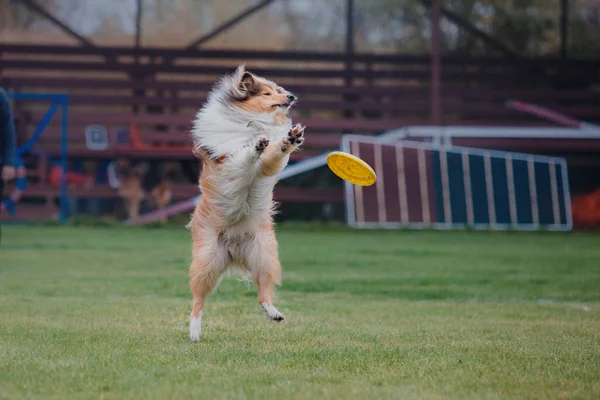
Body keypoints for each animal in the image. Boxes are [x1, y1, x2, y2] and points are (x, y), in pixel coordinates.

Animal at [188, 65, 308, 340]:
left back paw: (274, 313)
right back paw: (194, 333)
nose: (291, 96)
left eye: (278, 90)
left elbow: (273, 154)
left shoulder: (267, 167)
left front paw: (289, 139)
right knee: (198, 300)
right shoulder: (228, 160)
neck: (253, 122)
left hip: (265, 255)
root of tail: (233, 248)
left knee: (263, 293)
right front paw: (256, 146)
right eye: (266, 93)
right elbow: (244, 156)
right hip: (206, 259)